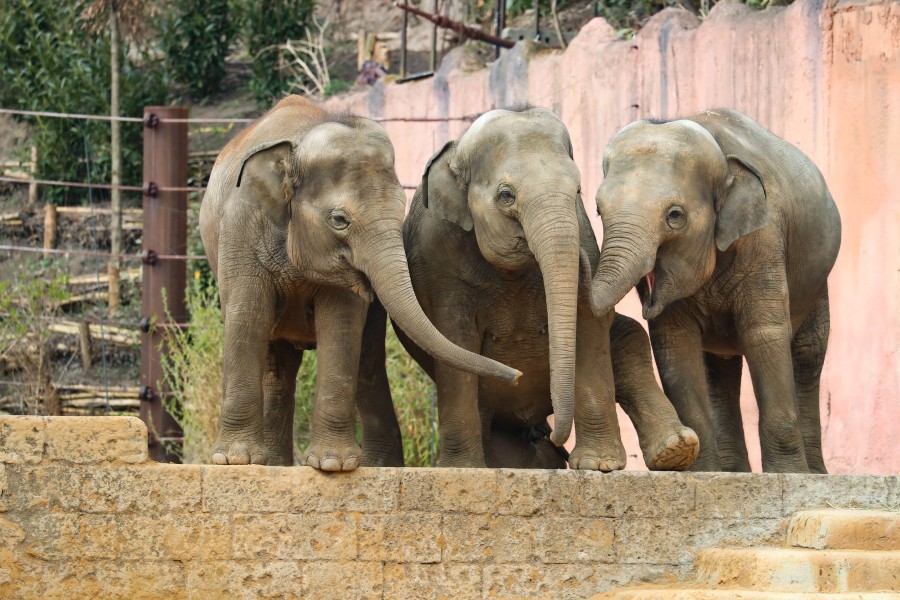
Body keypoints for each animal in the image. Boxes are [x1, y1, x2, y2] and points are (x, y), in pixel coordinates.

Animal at [197, 95, 520, 468]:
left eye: (401, 208)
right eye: (340, 220)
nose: (517, 375)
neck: (300, 141)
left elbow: (341, 322)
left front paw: (333, 465)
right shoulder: (242, 227)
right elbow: (247, 316)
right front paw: (235, 461)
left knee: (365, 356)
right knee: (277, 365)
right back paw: (271, 464)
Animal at [356, 108, 700, 472]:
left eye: (578, 190)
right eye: (506, 195)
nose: (558, 440)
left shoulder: (583, 234)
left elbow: (588, 326)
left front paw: (597, 465)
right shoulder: (437, 259)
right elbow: (455, 338)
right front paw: (464, 468)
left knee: (628, 337)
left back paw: (673, 449)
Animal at [596, 108, 840, 474]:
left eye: (675, 216)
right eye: (598, 210)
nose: (644, 306)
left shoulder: (764, 238)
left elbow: (764, 334)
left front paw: (789, 475)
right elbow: (675, 346)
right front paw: (701, 473)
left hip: (816, 281)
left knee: (808, 352)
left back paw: (815, 474)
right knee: (719, 370)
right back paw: (734, 472)